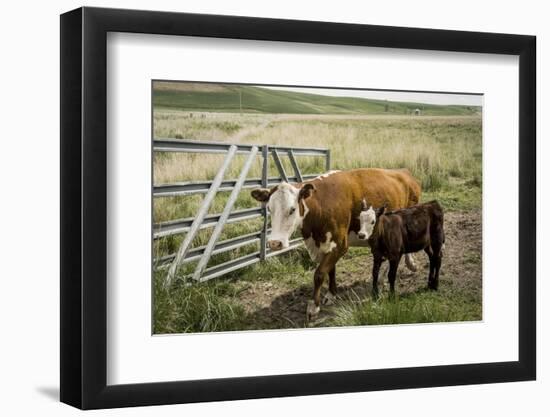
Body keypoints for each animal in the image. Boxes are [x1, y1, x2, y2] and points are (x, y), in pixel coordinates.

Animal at [251, 166, 422, 318]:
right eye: (270, 209)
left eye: (292, 209)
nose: (275, 243)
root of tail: (403, 171)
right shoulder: (324, 245)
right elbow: (330, 270)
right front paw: (331, 294)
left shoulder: (340, 244)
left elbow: (319, 274)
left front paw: (314, 307)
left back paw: (404, 267)